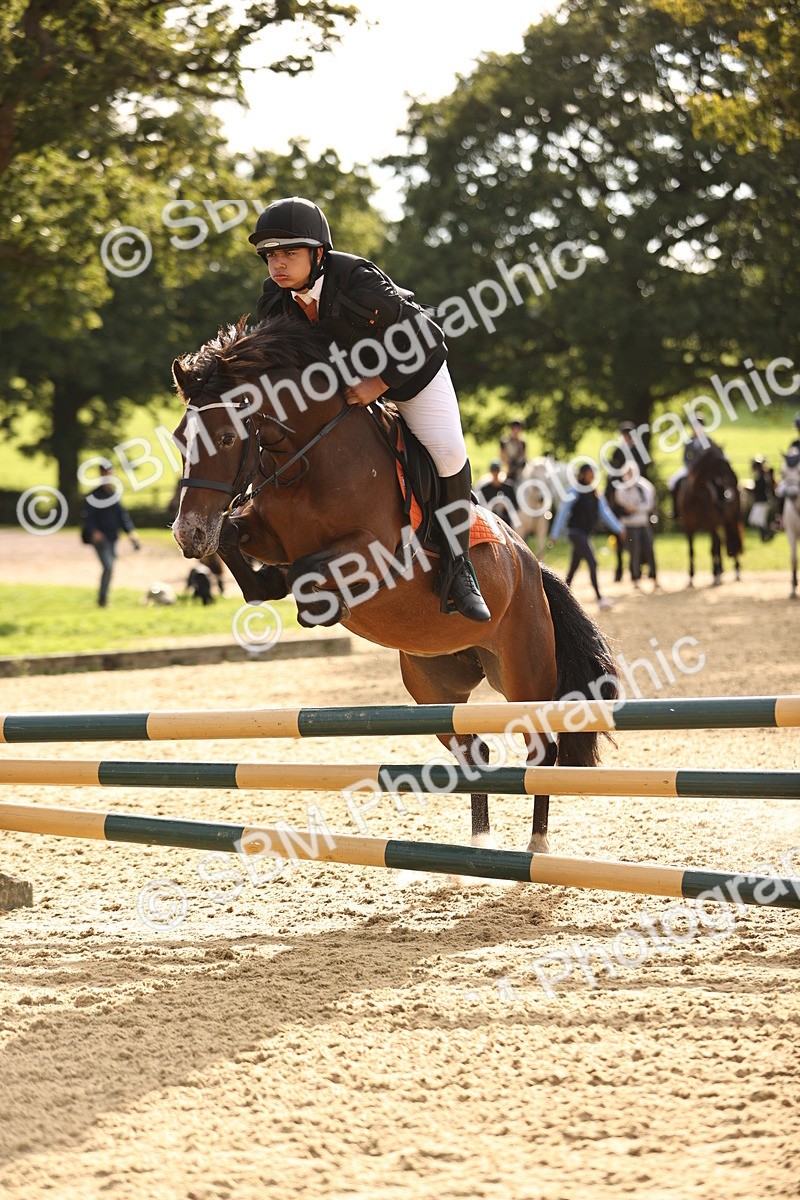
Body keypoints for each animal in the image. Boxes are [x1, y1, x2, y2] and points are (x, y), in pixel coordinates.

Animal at [170, 316, 618, 853]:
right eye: (179, 438)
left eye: (222, 437)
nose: (188, 534)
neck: (309, 457)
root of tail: (532, 566)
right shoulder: (264, 532)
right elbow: (241, 548)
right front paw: (264, 577)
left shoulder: (374, 552)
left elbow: (303, 572)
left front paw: (316, 604)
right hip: (434, 687)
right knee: (475, 751)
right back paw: (481, 843)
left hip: (523, 672)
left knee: (540, 749)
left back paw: (536, 845)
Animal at [677, 445, 744, 586]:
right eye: (721, 460)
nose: (735, 477)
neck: (695, 494)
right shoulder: (688, 527)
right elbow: (691, 550)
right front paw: (691, 577)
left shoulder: (710, 524)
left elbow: (713, 548)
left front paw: (715, 575)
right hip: (722, 522)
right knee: (721, 542)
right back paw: (721, 571)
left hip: (732, 519)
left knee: (730, 541)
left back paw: (735, 572)